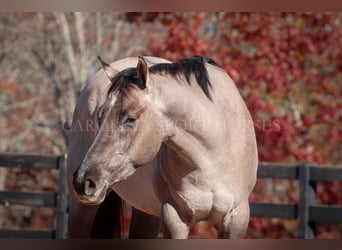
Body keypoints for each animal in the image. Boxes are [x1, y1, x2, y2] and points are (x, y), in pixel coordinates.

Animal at [68, 54, 258, 238]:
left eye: (130, 118)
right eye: (99, 117)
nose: (83, 181)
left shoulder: (237, 220)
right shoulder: (174, 217)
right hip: (81, 209)